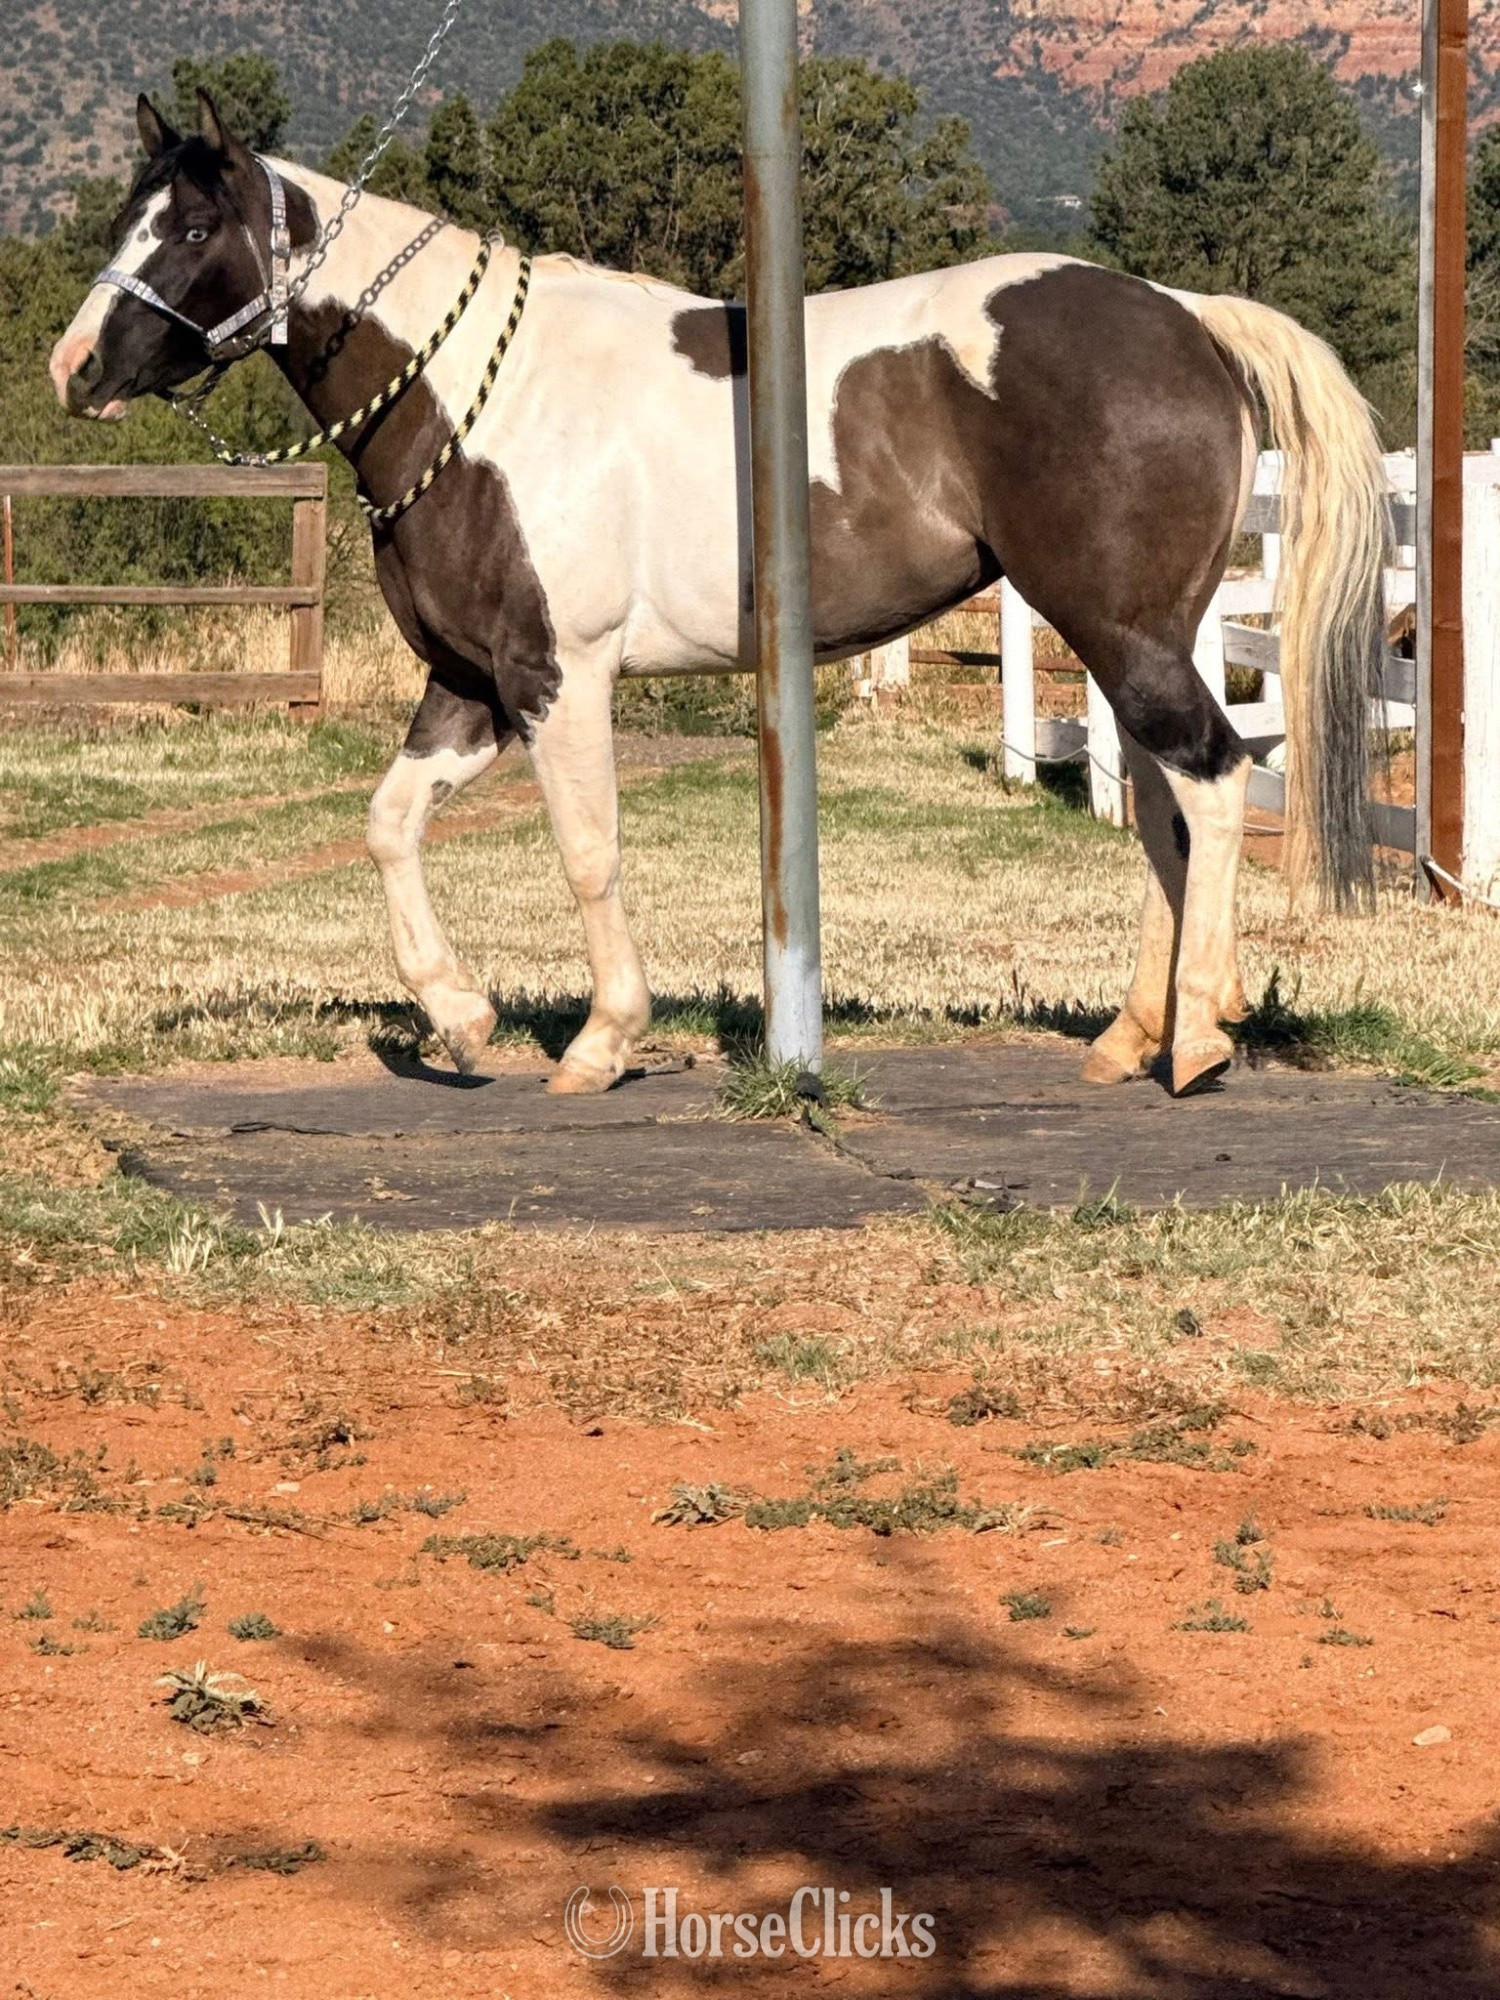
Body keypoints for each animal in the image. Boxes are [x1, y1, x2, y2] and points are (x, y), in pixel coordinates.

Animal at [49, 92, 1389, 1099]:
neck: (480, 399)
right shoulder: (469, 685)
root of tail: (1188, 319)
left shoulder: (556, 676)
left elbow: (588, 848)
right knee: (1166, 810)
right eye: (127, 216)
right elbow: (388, 824)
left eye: (187, 229)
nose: (75, 368)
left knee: (1211, 784)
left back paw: (1198, 1037)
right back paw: (1130, 1036)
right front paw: (462, 1016)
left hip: (1126, 637)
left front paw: (601, 1039)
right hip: (1131, 640)